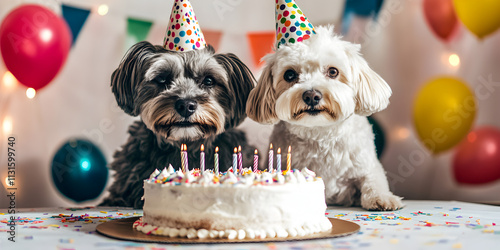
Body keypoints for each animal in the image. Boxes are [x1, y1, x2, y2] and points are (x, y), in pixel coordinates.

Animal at [248, 25, 404, 211]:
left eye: (333, 71)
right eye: (290, 75)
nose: (311, 96)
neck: (320, 133)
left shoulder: (368, 164)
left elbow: (374, 180)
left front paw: (382, 197)